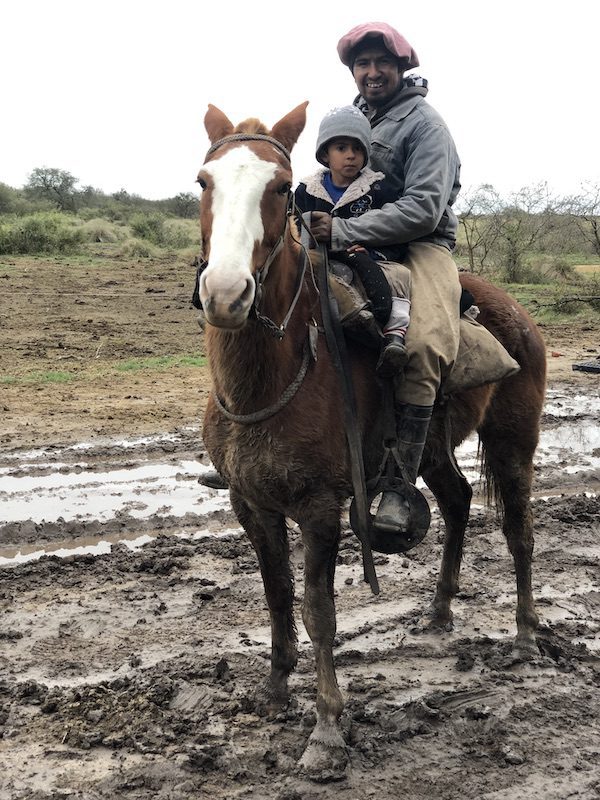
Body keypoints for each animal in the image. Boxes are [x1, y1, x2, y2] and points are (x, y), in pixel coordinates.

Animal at [198, 103, 548, 780]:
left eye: (280, 188)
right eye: (204, 181)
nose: (226, 295)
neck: (270, 378)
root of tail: (514, 311)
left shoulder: (319, 508)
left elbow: (319, 611)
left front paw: (327, 729)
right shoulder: (250, 504)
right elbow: (277, 595)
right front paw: (274, 692)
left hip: (514, 443)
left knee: (518, 531)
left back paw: (524, 635)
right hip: (433, 450)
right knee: (458, 502)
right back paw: (439, 611)